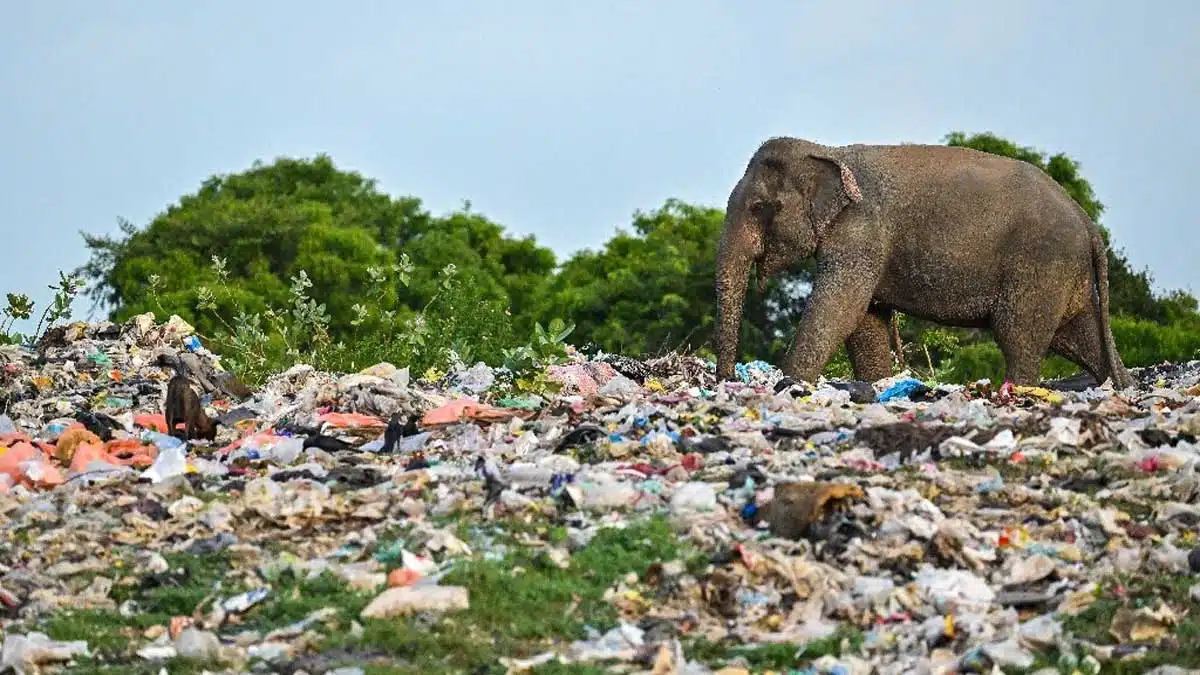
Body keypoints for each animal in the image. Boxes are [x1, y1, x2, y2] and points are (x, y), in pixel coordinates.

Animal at [710, 135, 1132, 389]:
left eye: (759, 207)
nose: (728, 381)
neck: (830, 150)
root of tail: (1087, 221)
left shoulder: (863, 232)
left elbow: (840, 310)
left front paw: (789, 385)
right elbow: (866, 322)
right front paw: (875, 386)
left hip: (1040, 267)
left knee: (1019, 337)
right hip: (1064, 275)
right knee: (1077, 335)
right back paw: (1120, 386)